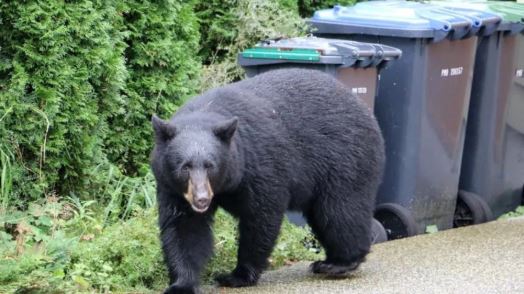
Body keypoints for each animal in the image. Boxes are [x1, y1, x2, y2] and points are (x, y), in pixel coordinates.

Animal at [151, 68, 384, 292]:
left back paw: (339, 263)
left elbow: (261, 216)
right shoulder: (172, 187)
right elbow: (185, 227)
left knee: (340, 211)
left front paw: (237, 275)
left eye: (210, 166)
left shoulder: (260, 165)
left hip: (344, 159)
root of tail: (366, 111)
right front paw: (182, 284)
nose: (201, 199)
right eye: (185, 167)